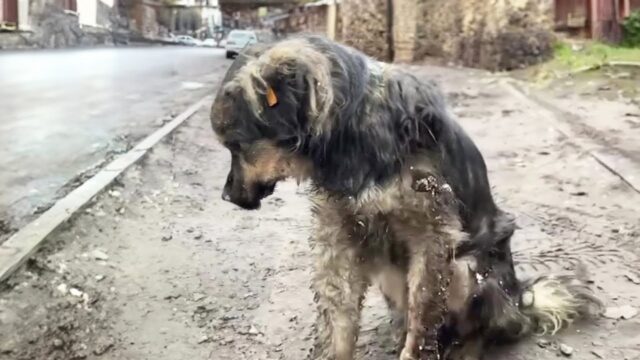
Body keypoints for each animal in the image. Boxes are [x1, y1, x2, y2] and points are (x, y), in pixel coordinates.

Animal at [211, 34, 600, 360]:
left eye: (237, 146)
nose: (226, 196)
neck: (353, 131)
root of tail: (521, 300)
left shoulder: (432, 237)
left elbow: (423, 320)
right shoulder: (338, 236)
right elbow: (338, 320)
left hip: (468, 270)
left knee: (477, 329)